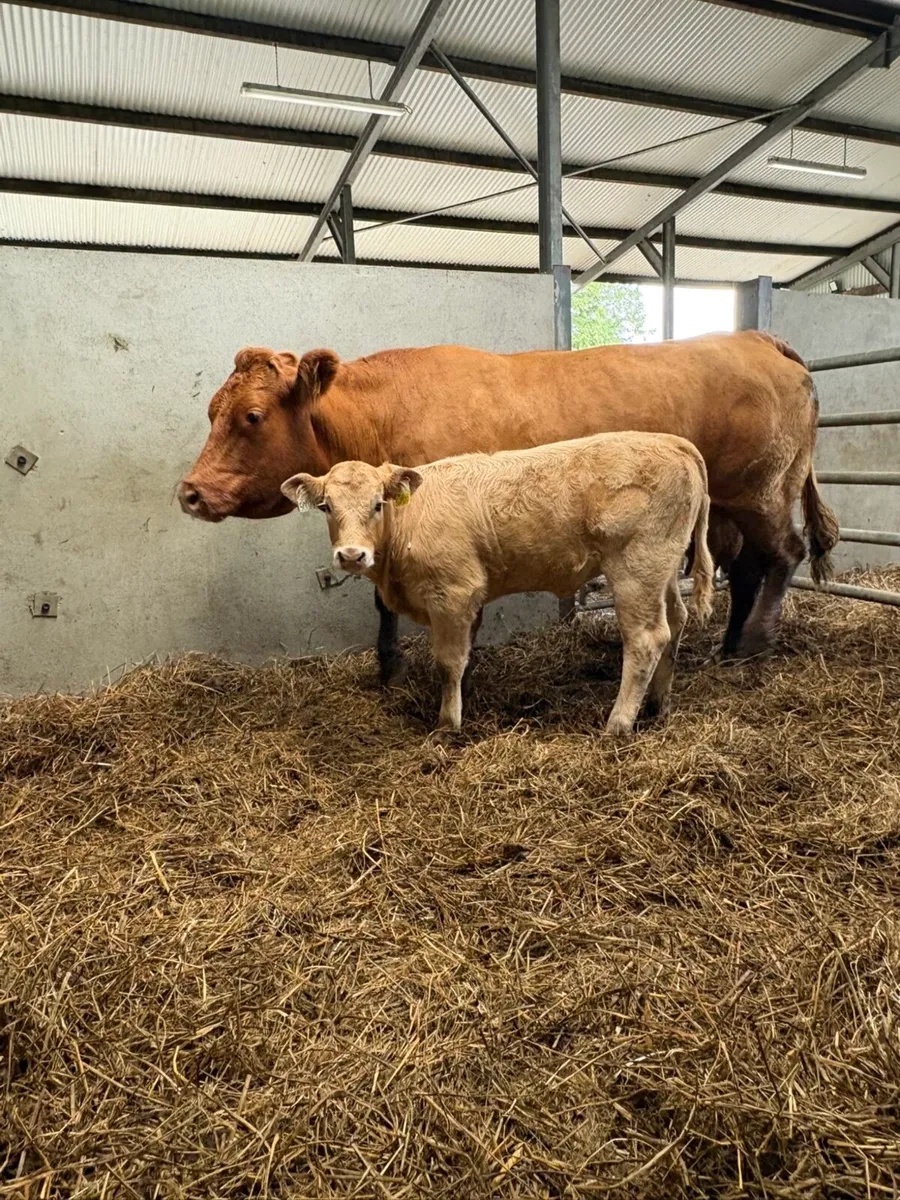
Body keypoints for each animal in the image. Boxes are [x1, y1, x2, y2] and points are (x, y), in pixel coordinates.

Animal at [178, 333, 838, 678]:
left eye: (252, 416)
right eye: (211, 409)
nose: (190, 492)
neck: (385, 415)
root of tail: (754, 339)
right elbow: (380, 599)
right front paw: (386, 669)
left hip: (764, 491)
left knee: (785, 553)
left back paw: (754, 642)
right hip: (729, 504)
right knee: (747, 565)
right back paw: (729, 645)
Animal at [279, 433, 714, 736]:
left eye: (377, 504)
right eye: (326, 506)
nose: (352, 555)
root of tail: (671, 441)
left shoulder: (453, 594)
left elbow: (449, 662)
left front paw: (447, 724)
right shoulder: (470, 598)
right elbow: (466, 656)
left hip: (635, 568)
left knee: (646, 639)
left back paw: (619, 723)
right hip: (663, 568)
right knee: (675, 621)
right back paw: (658, 704)